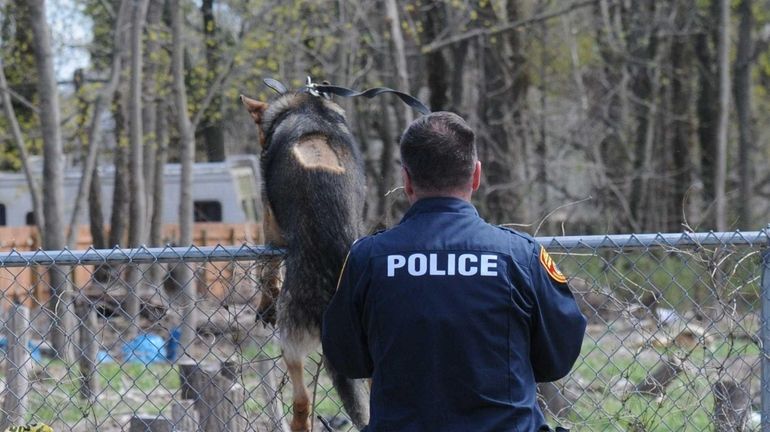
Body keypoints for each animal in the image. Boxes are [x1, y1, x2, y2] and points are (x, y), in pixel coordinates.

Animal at [242, 85, 370, 432]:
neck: (308, 106)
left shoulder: (269, 221)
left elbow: (268, 271)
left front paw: (266, 304)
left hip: (290, 341)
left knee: (302, 398)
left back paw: (300, 424)